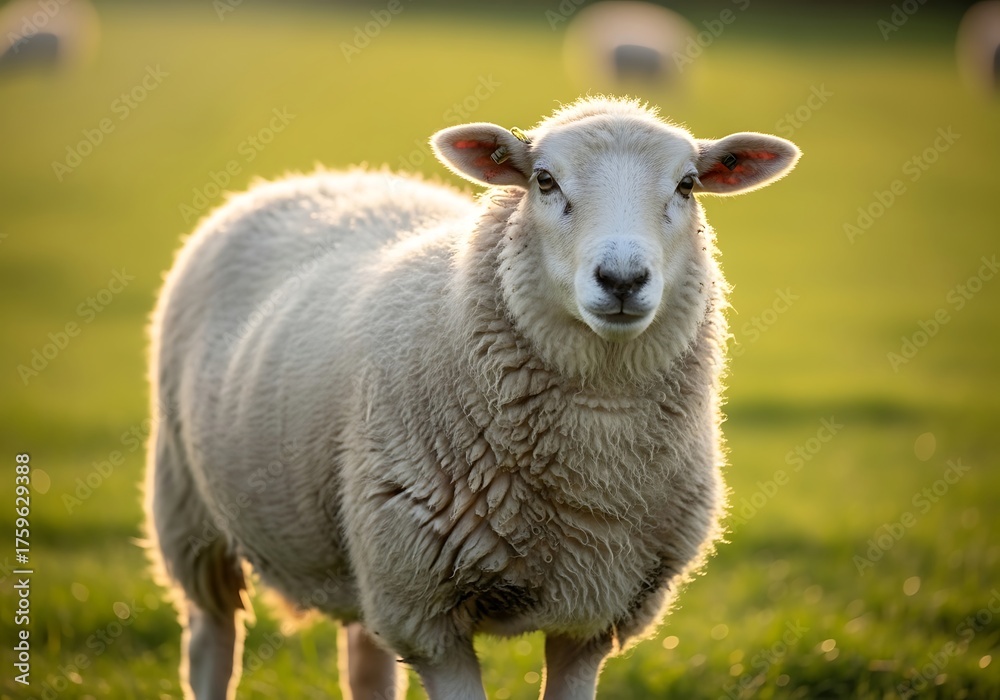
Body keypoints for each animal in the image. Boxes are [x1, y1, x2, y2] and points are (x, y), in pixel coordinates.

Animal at [144, 95, 800, 700]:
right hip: (191, 513)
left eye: (687, 184)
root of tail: (319, 176)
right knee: (210, 640)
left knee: (366, 663)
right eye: (544, 180)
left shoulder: (594, 615)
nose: (622, 280)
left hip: (361, 547)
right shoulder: (425, 613)